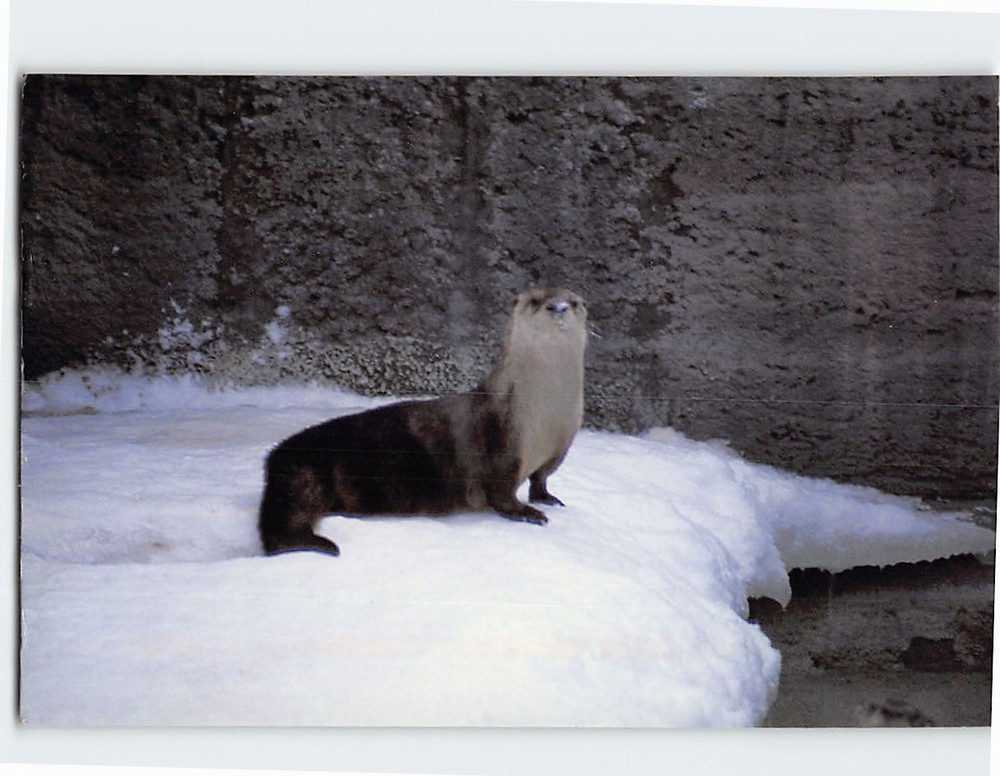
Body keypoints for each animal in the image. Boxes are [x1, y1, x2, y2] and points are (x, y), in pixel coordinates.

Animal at [258, 288, 588, 556]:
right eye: (536, 300)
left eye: (573, 302)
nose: (558, 307)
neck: (546, 412)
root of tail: (274, 456)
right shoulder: (502, 443)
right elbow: (502, 491)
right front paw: (528, 513)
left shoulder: (562, 444)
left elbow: (541, 477)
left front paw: (546, 498)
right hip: (304, 475)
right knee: (282, 524)